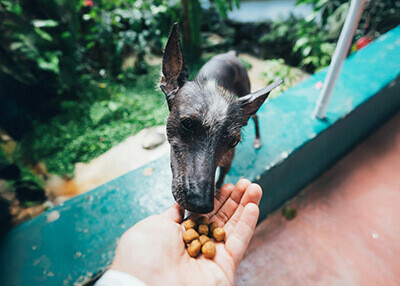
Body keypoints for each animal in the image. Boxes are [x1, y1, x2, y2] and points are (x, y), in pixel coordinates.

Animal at [159, 24, 282, 212]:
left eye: (234, 142)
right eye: (187, 123)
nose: (201, 205)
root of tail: (230, 54)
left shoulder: (228, 162)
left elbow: (220, 179)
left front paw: (217, 189)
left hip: (247, 98)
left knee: (255, 117)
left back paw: (258, 139)